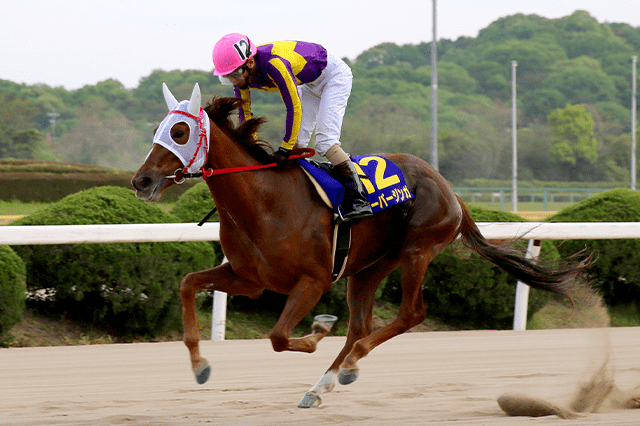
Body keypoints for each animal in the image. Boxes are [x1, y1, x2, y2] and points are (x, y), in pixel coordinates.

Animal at [132, 83, 592, 408]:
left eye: (179, 131)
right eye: (156, 130)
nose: (141, 181)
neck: (264, 200)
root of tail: (450, 189)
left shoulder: (313, 280)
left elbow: (280, 336)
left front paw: (317, 330)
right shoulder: (250, 279)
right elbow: (188, 283)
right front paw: (200, 365)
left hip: (417, 250)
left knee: (409, 314)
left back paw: (350, 364)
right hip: (369, 266)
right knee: (361, 326)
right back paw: (321, 386)